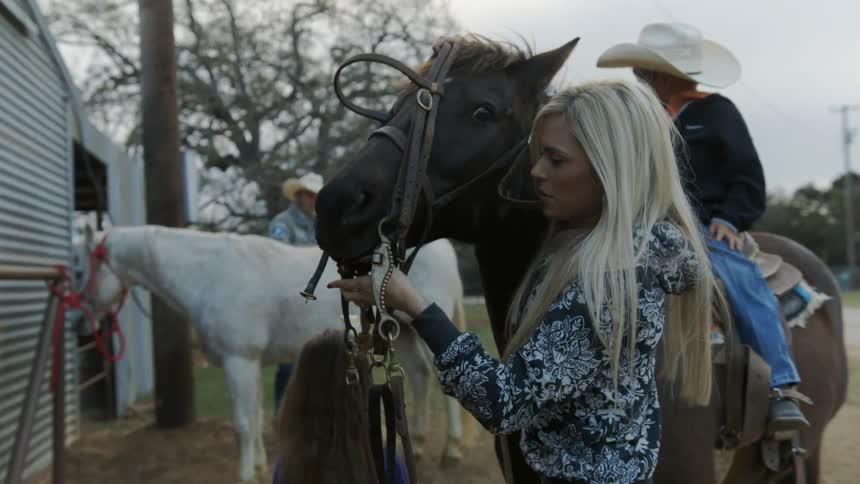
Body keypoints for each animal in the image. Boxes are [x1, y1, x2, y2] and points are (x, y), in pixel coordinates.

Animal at [74, 225, 472, 483]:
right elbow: (253, 415)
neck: (210, 274)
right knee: (418, 378)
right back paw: (416, 445)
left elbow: (242, 424)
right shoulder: (248, 364)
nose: (82, 321)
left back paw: (452, 452)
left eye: (82, 268)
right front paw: (260, 467)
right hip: (399, 334)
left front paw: (245, 475)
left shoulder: (238, 361)